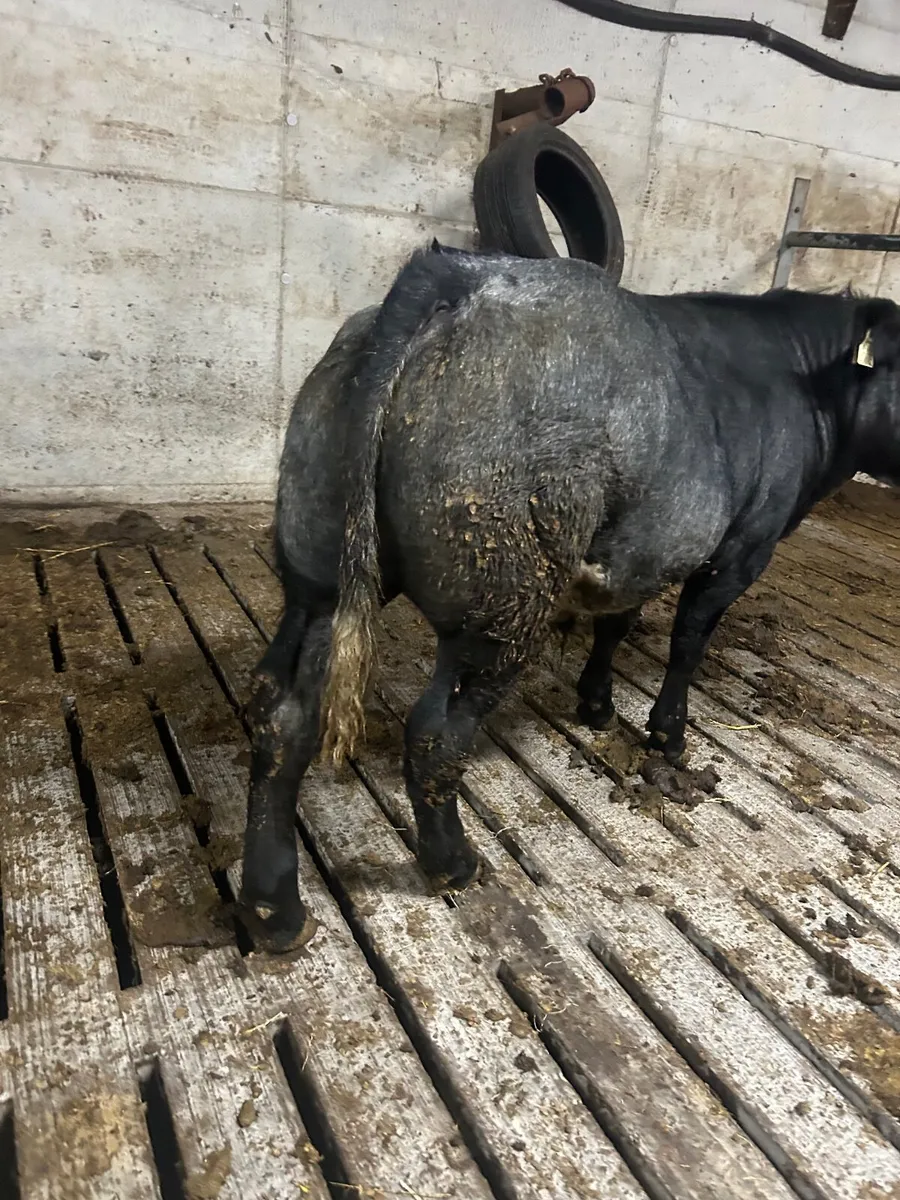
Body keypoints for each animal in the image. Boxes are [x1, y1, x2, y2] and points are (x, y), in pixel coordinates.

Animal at [241, 244, 900, 950]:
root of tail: (457, 272)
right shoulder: (743, 547)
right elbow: (688, 641)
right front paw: (666, 735)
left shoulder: (641, 545)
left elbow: (618, 620)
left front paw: (597, 703)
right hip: (502, 603)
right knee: (435, 733)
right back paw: (453, 863)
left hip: (318, 566)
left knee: (283, 711)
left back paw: (274, 907)